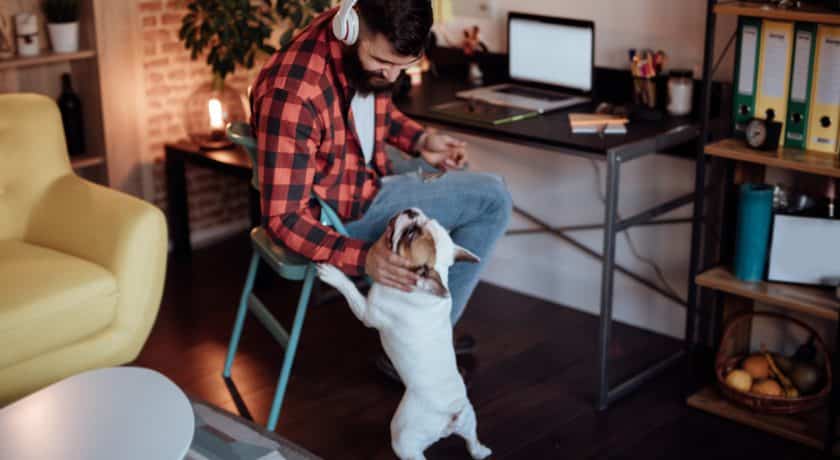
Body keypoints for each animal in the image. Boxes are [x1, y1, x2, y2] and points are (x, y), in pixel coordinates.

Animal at [320, 208, 492, 460]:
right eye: (424, 221)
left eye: (410, 235)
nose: (411, 212)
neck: (421, 286)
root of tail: (451, 414)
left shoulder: (368, 313)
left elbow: (350, 290)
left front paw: (334, 275)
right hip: (469, 419)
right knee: (473, 440)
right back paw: (481, 451)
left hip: (404, 439)